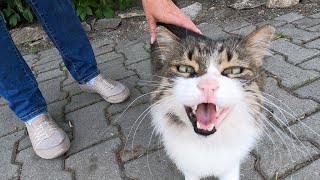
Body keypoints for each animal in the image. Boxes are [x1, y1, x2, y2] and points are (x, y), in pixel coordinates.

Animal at [149, 24, 276, 180]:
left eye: (234, 70)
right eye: (184, 68)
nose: (208, 86)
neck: (209, 145)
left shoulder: (230, 166)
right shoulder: (189, 168)